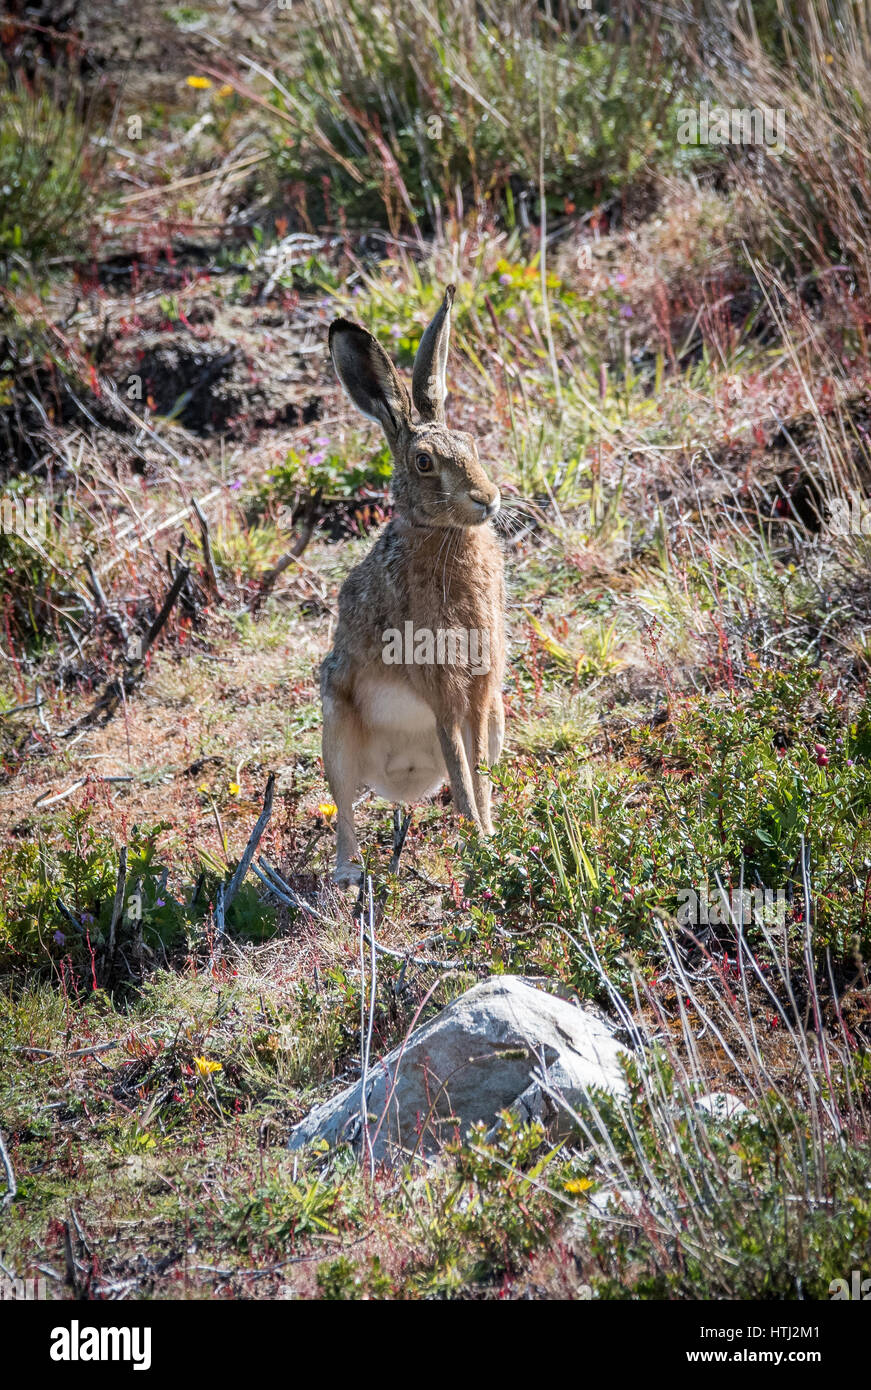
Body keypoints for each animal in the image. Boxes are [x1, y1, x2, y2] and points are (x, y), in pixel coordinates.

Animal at [321, 284, 505, 886]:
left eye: (471, 443)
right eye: (424, 462)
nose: (487, 498)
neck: (441, 535)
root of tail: (401, 779)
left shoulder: (481, 688)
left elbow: (478, 771)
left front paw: (494, 840)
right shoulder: (439, 683)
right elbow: (464, 772)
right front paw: (482, 846)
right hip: (335, 725)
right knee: (344, 805)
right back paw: (349, 873)